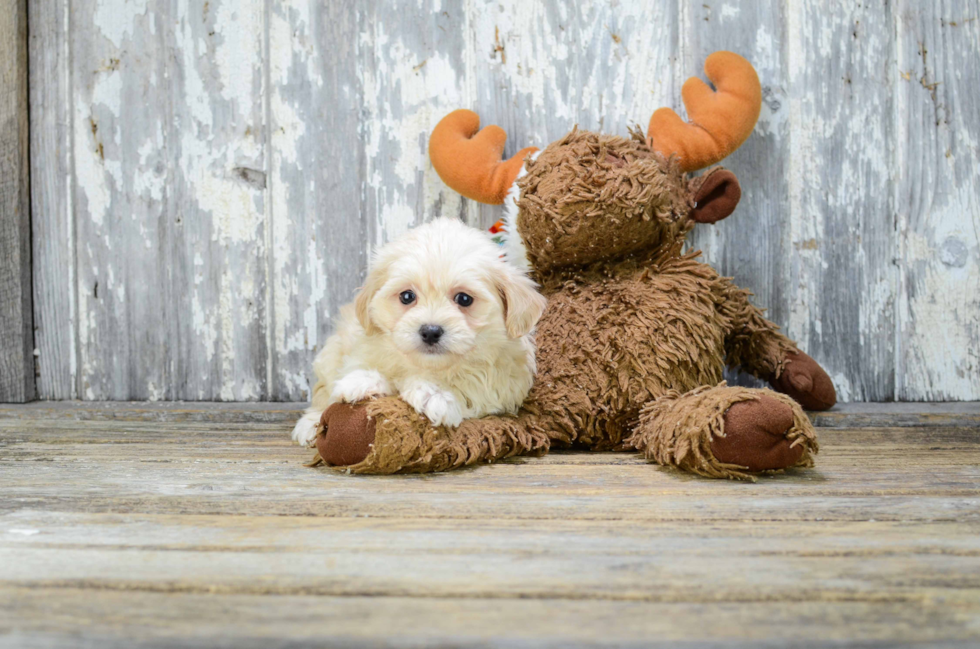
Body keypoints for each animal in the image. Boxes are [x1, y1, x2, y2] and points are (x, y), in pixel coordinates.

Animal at [290, 218, 552, 446]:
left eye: (464, 299)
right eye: (407, 296)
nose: (431, 331)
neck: (428, 366)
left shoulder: (502, 382)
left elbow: (469, 385)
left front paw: (433, 394)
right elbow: (362, 371)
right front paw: (362, 381)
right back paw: (311, 424)